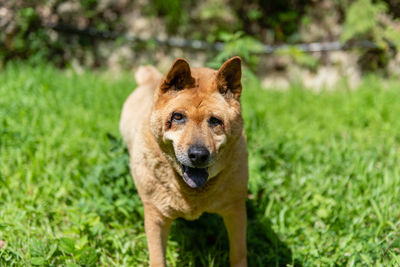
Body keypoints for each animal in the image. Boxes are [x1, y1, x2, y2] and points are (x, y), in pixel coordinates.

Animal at [120, 57, 248, 267]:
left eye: (215, 121)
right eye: (178, 117)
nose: (198, 154)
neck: (193, 194)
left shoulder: (235, 209)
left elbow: (238, 253)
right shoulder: (156, 215)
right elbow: (157, 258)